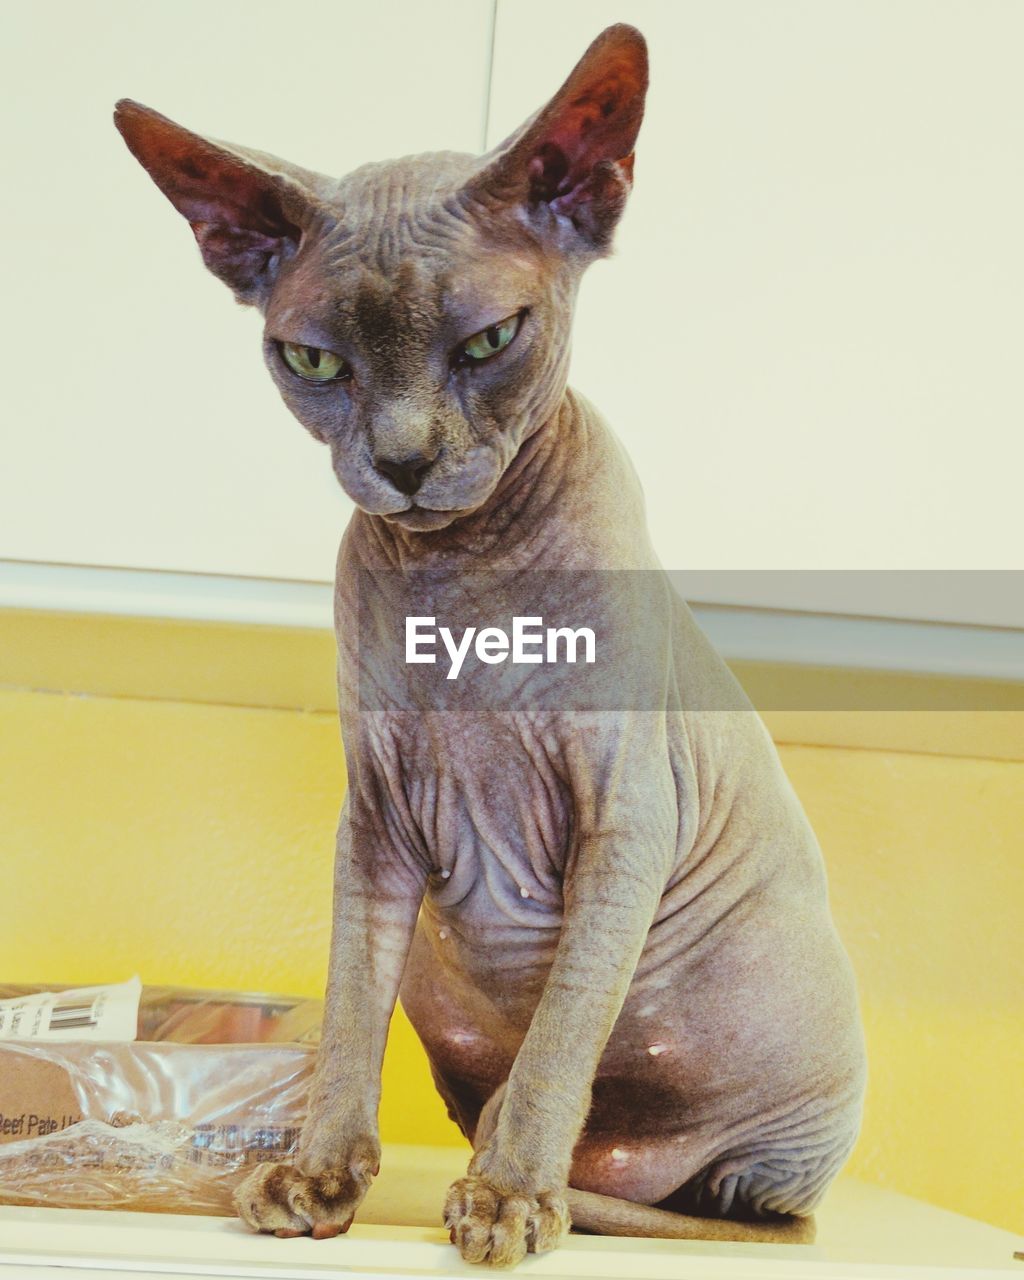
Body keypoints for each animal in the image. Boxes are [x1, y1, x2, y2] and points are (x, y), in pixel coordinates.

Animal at [113, 24, 865, 1264]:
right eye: (312, 362)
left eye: (490, 340)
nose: (404, 461)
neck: (461, 583)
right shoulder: (373, 825)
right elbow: (350, 1002)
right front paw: (319, 1168)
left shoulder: (624, 824)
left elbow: (558, 1035)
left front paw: (511, 1194)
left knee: (706, 1185)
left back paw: (539, 1180)